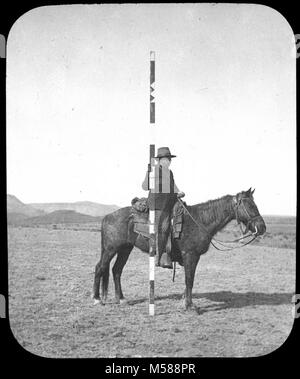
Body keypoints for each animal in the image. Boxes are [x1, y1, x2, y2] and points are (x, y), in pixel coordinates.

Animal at [92, 189, 266, 312]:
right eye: (250, 205)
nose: (262, 227)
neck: (200, 221)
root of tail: (107, 217)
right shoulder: (190, 255)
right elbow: (189, 280)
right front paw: (190, 306)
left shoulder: (193, 258)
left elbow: (189, 280)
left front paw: (185, 301)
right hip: (110, 249)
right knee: (100, 268)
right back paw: (96, 299)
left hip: (125, 249)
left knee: (116, 270)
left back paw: (121, 299)